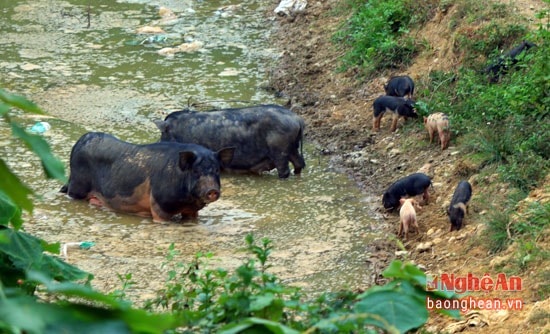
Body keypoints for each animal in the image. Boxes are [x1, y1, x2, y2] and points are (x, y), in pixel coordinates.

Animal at [60, 132, 235, 222]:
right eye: (196, 171)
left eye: (216, 170)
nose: (212, 190)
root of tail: (80, 142)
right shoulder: (159, 205)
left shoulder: (191, 211)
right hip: (77, 187)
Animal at [156, 104, 306, 179]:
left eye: (163, 134)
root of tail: (297, 119)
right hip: (292, 147)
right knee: (299, 163)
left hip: (280, 149)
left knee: (284, 170)